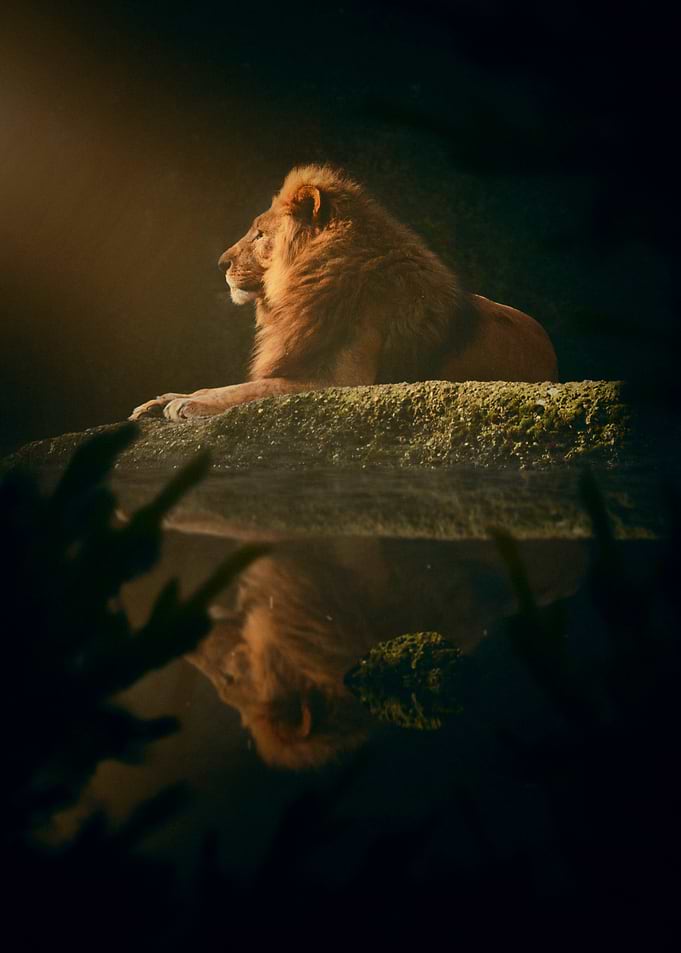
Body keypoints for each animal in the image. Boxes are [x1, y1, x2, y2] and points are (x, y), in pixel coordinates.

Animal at [130, 164, 558, 421]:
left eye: (260, 234)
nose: (221, 263)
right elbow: (230, 385)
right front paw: (163, 399)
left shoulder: (343, 382)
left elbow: (258, 389)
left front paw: (188, 404)